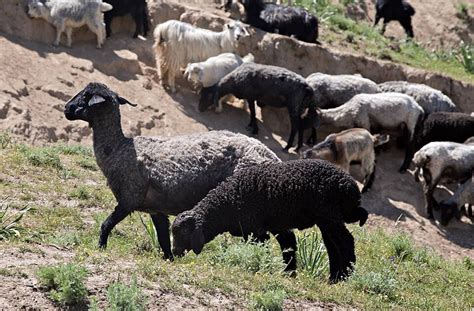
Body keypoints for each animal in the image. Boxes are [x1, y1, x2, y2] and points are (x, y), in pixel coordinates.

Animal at [172, 160, 368, 284]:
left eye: (183, 232)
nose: (173, 253)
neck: (227, 201)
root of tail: (350, 186)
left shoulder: (256, 231)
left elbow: (263, 251)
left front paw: (263, 268)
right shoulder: (279, 227)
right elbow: (289, 248)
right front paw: (289, 274)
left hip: (329, 216)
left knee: (345, 242)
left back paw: (344, 277)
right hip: (327, 219)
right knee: (333, 247)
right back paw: (333, 278)